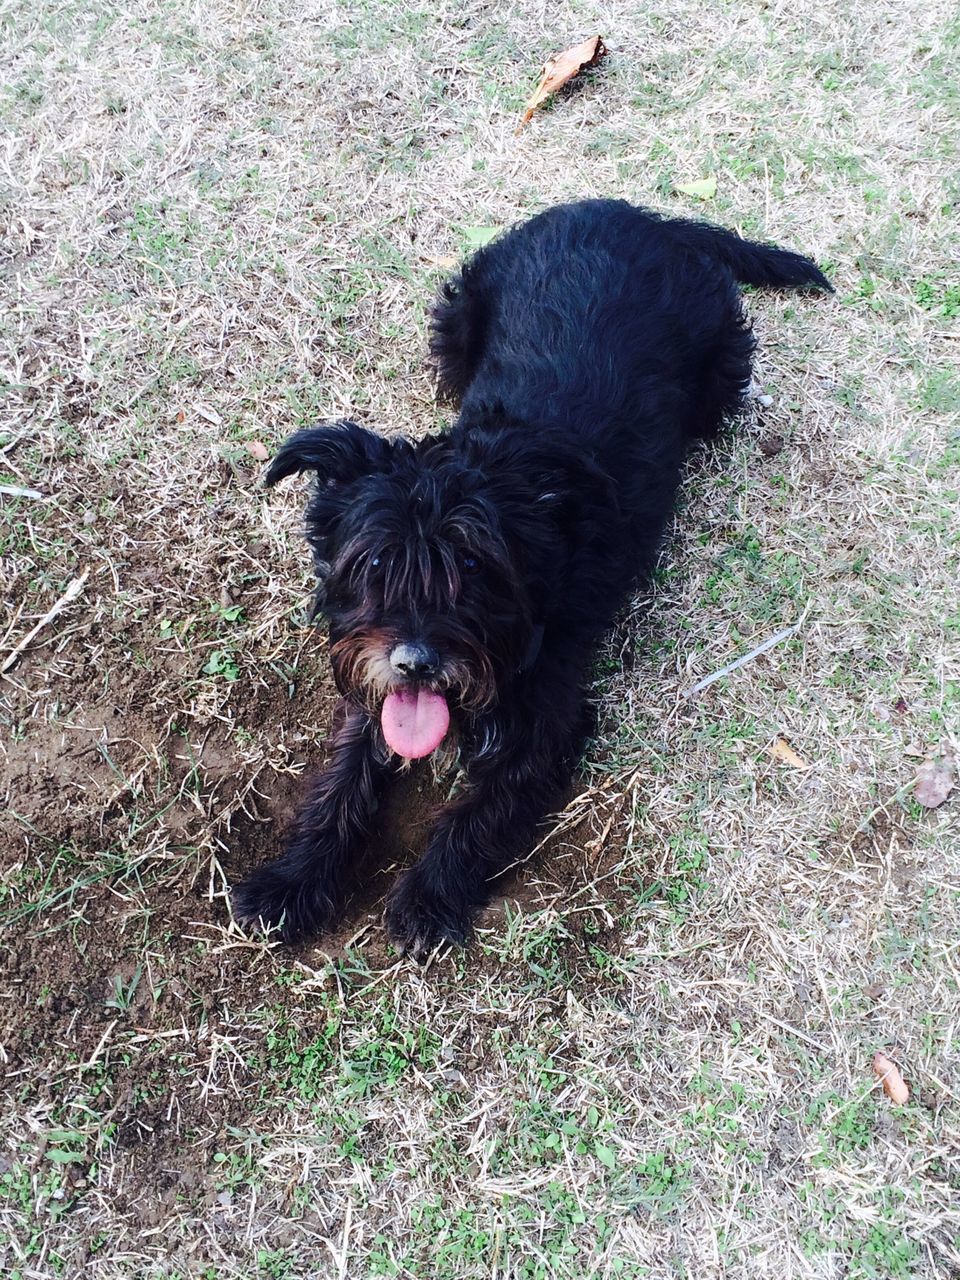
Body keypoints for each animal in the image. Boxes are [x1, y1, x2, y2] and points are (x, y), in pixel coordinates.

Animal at [235, 199, 834, 957]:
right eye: (374, 562)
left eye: (471, 564)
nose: (416, 662)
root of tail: (638, 213)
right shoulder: (373, 697)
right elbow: (342, 784)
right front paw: (290, 884)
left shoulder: (548, 727)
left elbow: (478, 816)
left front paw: (428, 898)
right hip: (456, 321)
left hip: (722, 372)